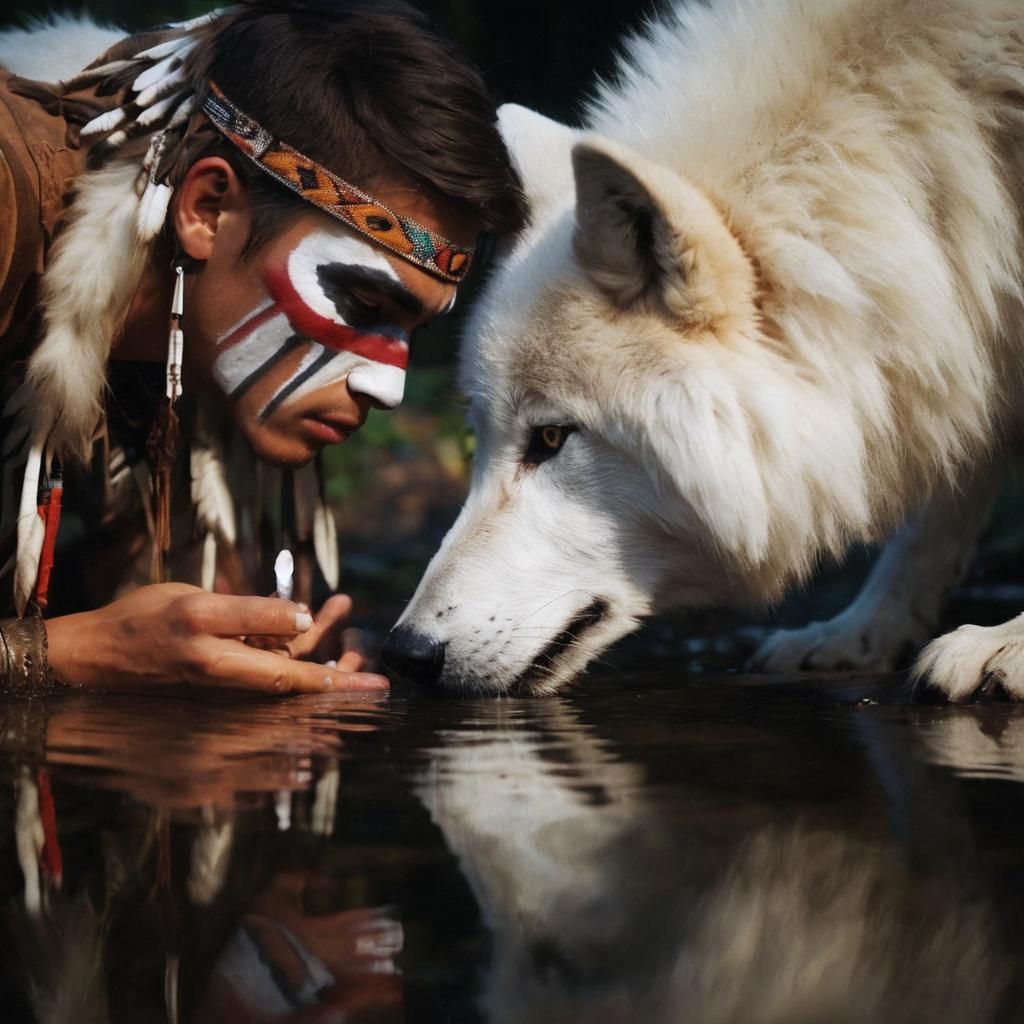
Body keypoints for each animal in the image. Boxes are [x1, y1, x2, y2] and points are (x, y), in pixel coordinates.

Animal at [383, 0, 1024, 696]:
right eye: (481, 435)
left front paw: (1007, 647)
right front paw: (862, 633)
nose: (405, 653)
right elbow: (935, 514)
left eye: (551, 438)